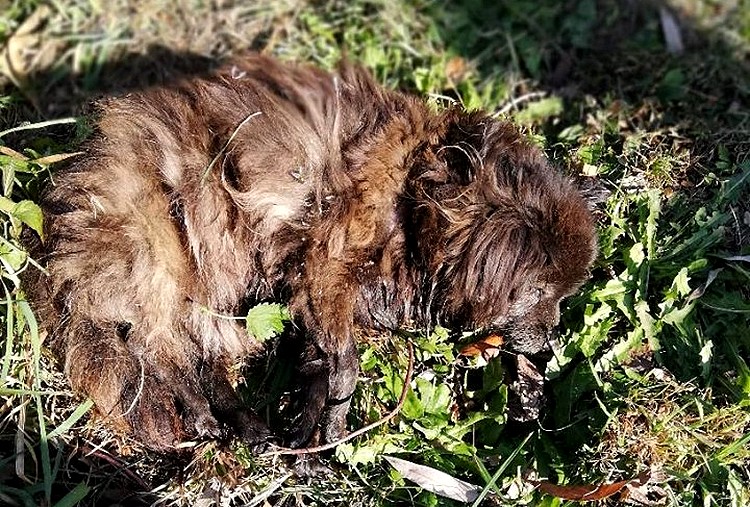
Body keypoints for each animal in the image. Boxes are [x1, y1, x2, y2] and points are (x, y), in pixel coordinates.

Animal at [27, 55, 600, 452]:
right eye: (538, 291)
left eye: (564, 294)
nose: (548, 341)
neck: (417, 190)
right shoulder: (324, 273)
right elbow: (342, 366)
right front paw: (328, 430)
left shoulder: (313, 296)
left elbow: (317, 367)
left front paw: (305, 430)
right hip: (168, 262)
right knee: (158, 350)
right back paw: (207, 419)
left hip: (218, 293)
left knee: (202, 358)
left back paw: (248, 426)